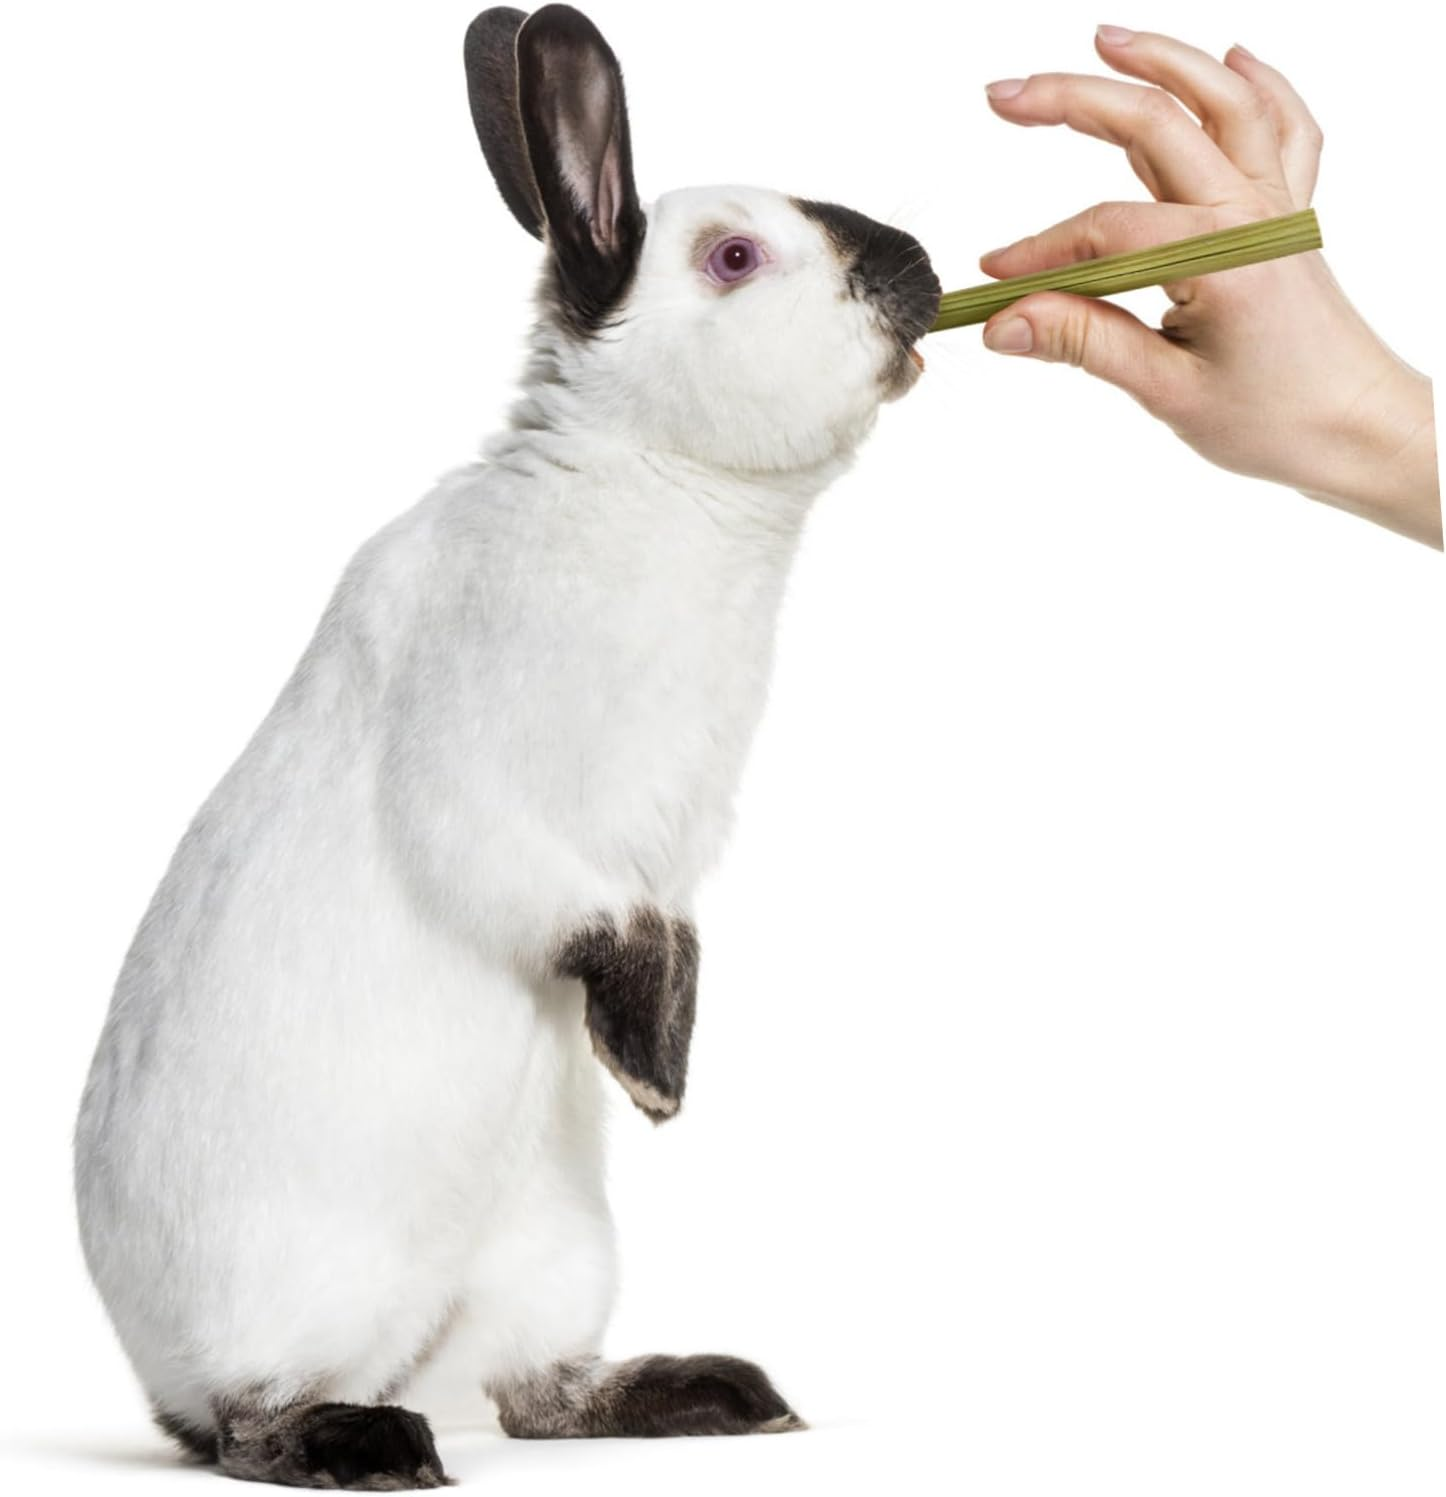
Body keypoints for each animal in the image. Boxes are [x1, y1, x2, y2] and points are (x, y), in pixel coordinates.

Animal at [72, 4, 941, 1489]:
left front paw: (655, 1066)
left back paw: (715, 1394)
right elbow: (590, 917)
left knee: (538, 1391)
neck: (660, 487)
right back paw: (370, 1440)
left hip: (556, 1248)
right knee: (250, 1421)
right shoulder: (485, 802)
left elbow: (666, 934)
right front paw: (656, 1081)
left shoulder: (677, 849)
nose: (924, 271)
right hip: (294, 1286)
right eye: (734, 256)